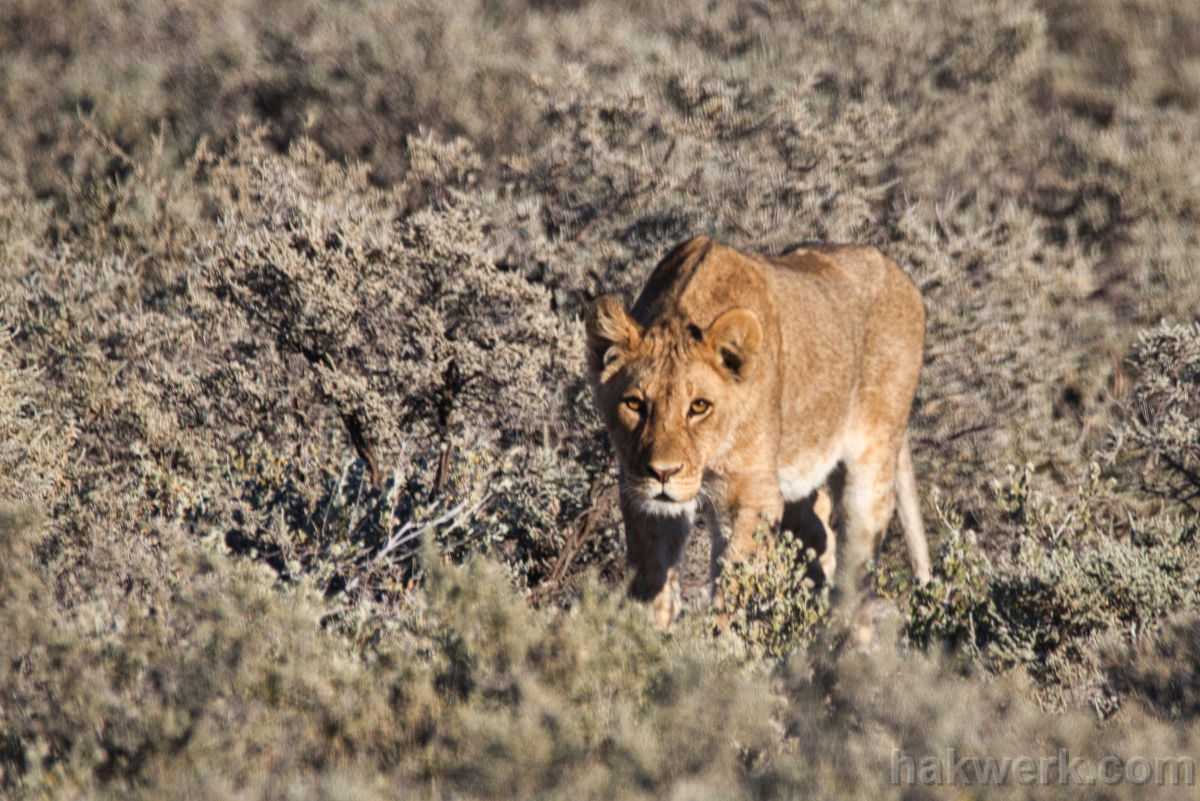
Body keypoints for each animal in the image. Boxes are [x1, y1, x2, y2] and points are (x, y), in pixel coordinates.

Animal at [585, 235, 931, 642]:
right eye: (635, 404)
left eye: (699, 406)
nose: (663, 473)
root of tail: (900, 274)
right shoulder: (641, 495)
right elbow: (651, 580)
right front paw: (645, 642)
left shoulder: (750, 495)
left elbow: (734, 584)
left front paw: (721, 649)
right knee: (819, 537)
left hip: (871, 459)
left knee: (859, 566)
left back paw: (844, 647)